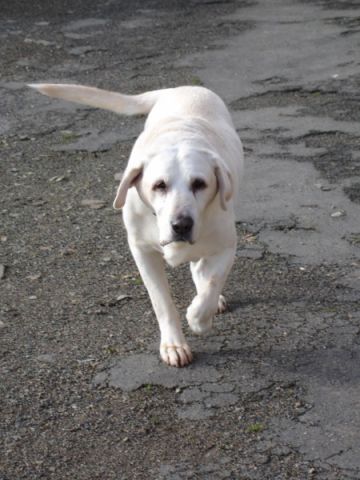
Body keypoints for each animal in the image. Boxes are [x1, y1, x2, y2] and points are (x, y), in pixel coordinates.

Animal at [30, 83, 245, 368]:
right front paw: (174, 344)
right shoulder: (142, 251)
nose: (181, 225)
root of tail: (182, 87)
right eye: (159, 185)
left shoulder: (226, 245)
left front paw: (199, 318)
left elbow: (211, 284)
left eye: (200, 184)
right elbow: (162, 302)